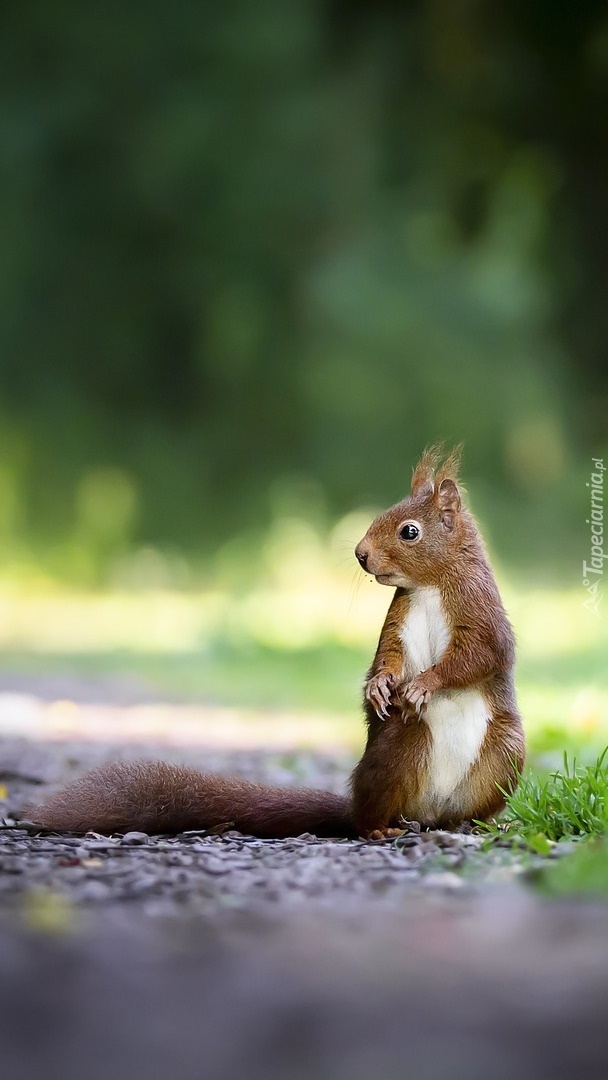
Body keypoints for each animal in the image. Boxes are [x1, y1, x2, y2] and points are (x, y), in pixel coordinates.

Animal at [28, 442, 522, 838]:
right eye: (381, 515)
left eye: (410, 531)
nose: (361, 554)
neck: (430, 586)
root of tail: (427, 813)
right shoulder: (398, 619)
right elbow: (389, 656)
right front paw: (380, 686)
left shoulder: (479, 610)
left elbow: (479, 655)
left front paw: (423, 684)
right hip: (402, 746)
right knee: (372, 811)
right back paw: (379, 828)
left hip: (506, 753)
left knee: (465, 806)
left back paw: (474, 822)